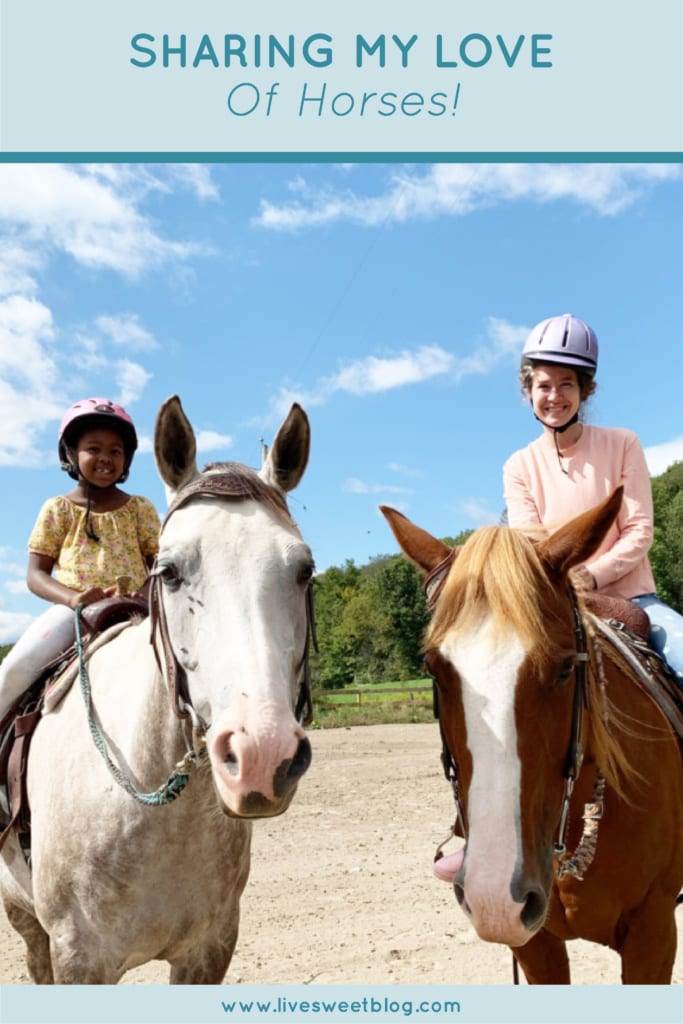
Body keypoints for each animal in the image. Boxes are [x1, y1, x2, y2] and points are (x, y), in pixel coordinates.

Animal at [0, 393, 315, 983]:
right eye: (168, 571)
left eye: (304, 570)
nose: (262, 756)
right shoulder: (80, 959)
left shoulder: (209, 950)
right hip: (25, 919)